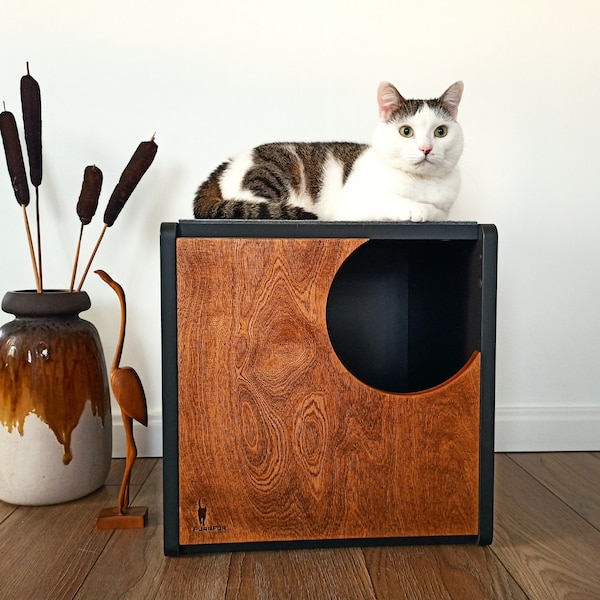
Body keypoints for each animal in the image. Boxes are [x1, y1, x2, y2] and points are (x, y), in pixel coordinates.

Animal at [192, 79, 464, 220]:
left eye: (440, 132)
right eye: (406, 131)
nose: (426, 149)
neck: (421, 182)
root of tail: (226, 165)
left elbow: (440, 212)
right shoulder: (355, 204)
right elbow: (396, 202)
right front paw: (418, 208)